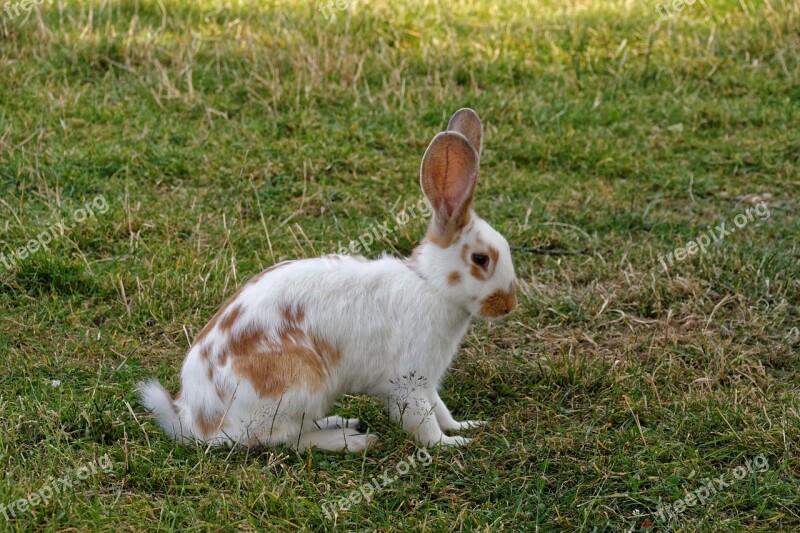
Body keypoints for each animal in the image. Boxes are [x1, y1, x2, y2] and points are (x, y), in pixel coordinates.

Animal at [139, 108, 520, 448]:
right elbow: (422, 422)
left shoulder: (428, 383)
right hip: (299, 386)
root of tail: (199, 422)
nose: (508, 305)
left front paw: (464, 426)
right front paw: (451, 444)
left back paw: (341, 421)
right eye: (481, 259)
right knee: (279, 439)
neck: (431, 286)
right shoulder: (407, 382)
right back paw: (351, 440)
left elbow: (440, 410)